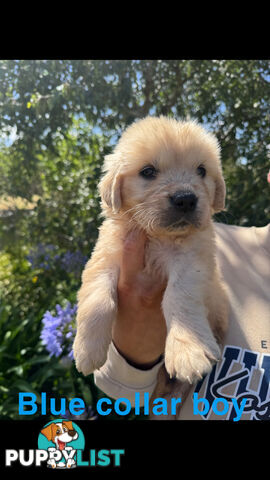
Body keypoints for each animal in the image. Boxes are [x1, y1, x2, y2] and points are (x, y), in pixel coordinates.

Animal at [73, 115, 228, 382]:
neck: (156, 237)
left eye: (201, 170)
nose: (185, 199)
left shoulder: (192, 262)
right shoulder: (104, 258)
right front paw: (87, 350)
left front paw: (188, 351)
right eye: (148, 172)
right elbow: (97, 300)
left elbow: (178, 296)